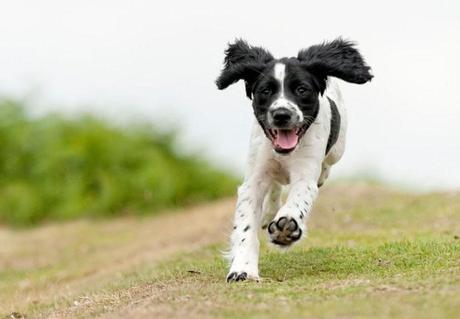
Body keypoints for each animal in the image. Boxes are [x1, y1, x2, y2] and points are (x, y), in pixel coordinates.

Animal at [217, 38, 374, 284]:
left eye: (302, 90)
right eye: (265, 91)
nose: (282, 114)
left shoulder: (305, 176)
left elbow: (299, 200)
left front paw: (286, 228)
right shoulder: (253, 179)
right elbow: (245, 227)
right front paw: (242, 269)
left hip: (337, 149)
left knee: (326, 166)